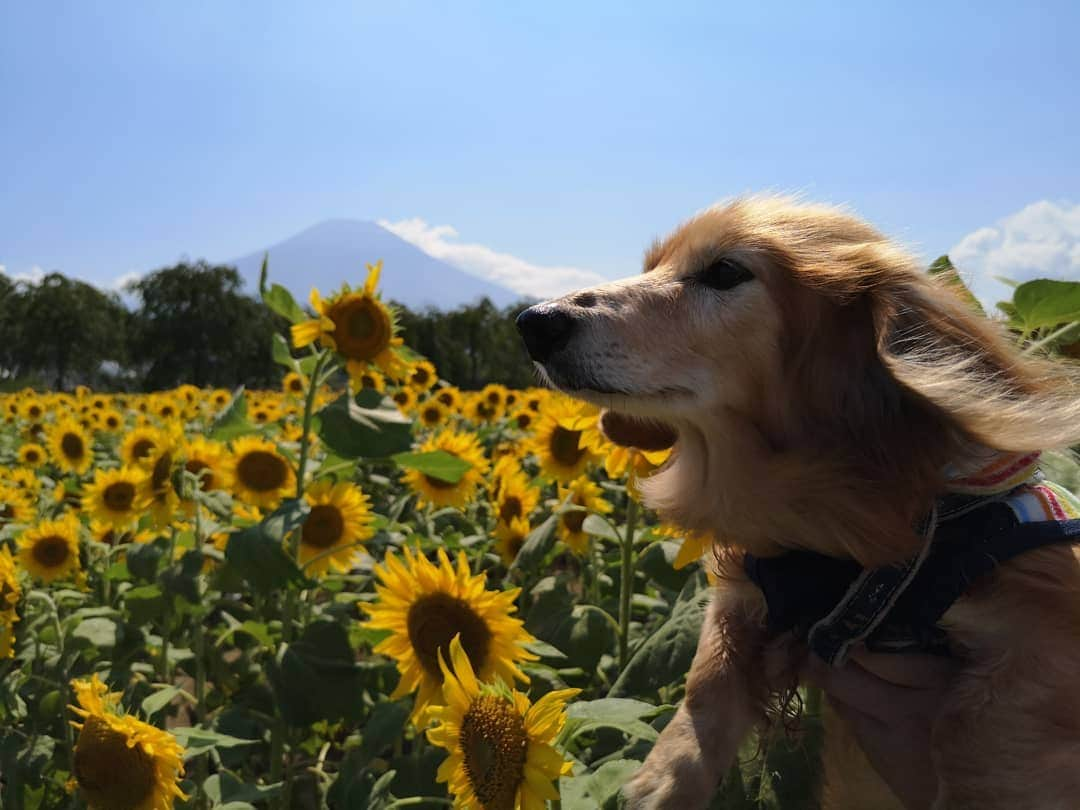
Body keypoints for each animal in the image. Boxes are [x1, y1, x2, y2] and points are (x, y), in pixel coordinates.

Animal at [514, 196, 1080, 810]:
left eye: (724, 272)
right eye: (650, 267)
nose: (534, 321)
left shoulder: (1044, 622)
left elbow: (975, 739)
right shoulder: (750, 580)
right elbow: (707, 678)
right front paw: (664, 780)